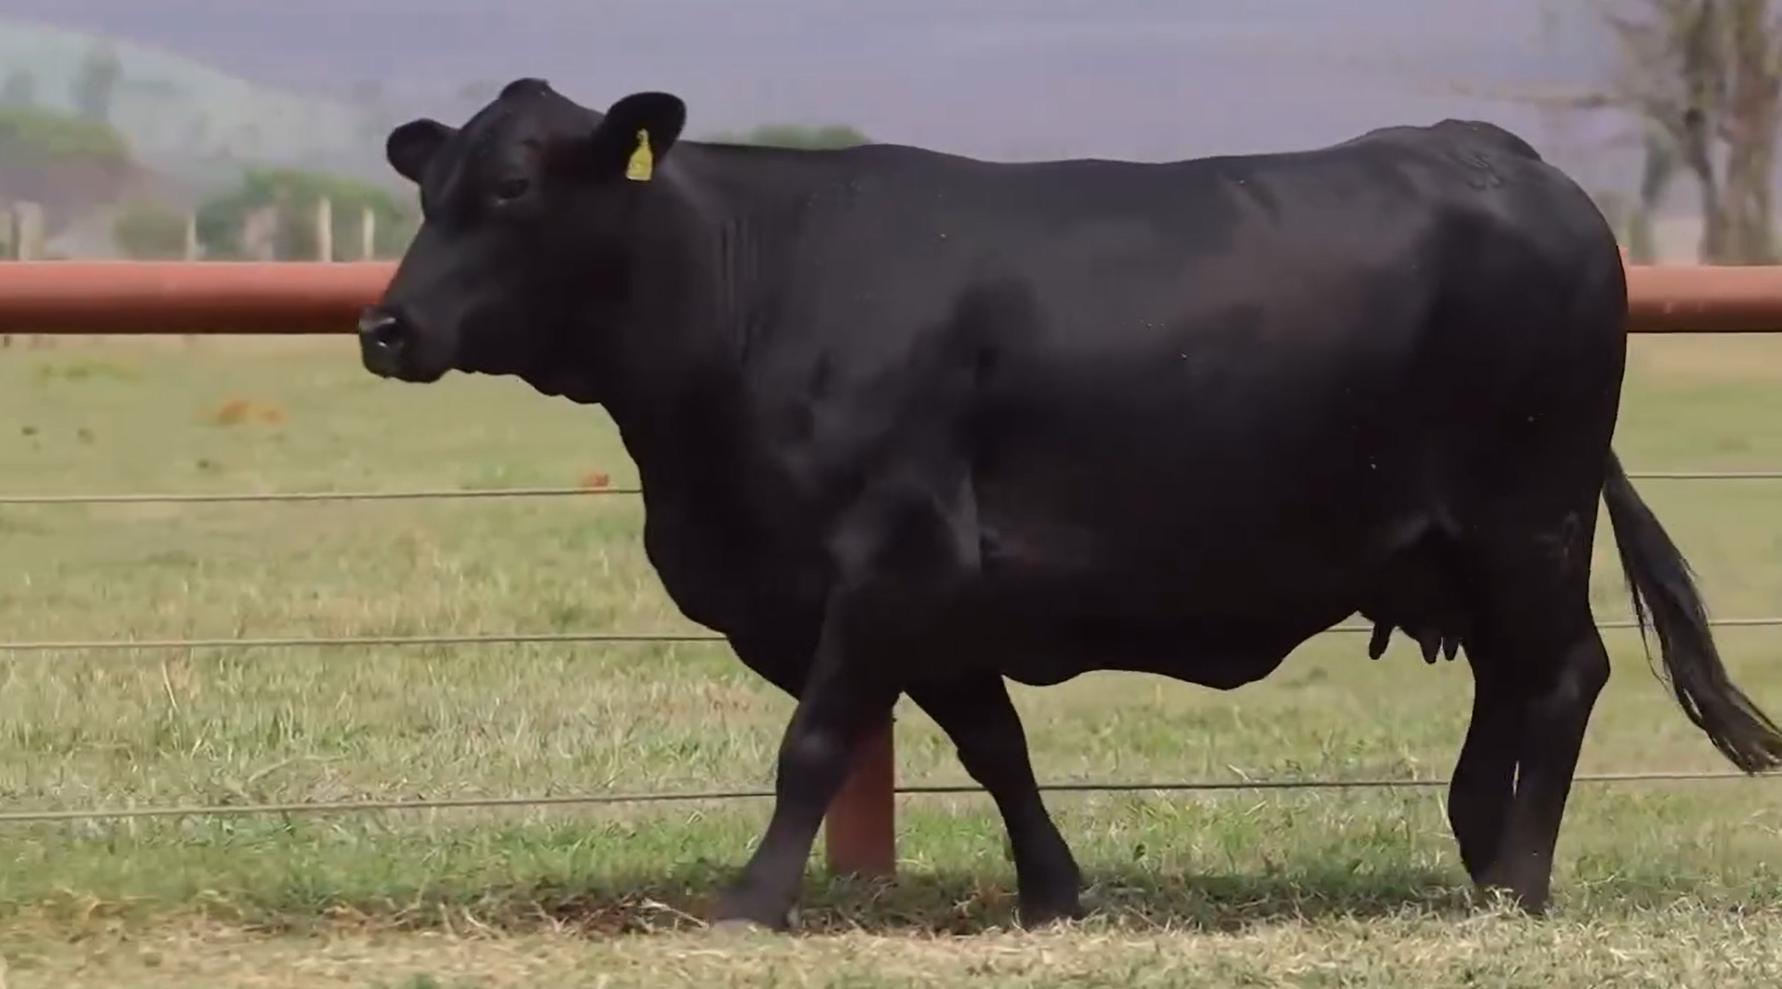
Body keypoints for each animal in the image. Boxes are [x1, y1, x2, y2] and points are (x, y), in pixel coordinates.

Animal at [356, 77, 1782, 932]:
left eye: (514, 188)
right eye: (427, 190)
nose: (385, 325)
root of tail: (1502, 155)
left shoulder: (888, 557)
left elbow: (816, 741)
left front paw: (752, 900)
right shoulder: (932, 591)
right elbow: (994, 742)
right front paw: (1053, 888)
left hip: (1527, 515)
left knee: (1566, 672)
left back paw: (1520, 878)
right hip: (1457, 544)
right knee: (1507, 684)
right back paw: (1480, 848)